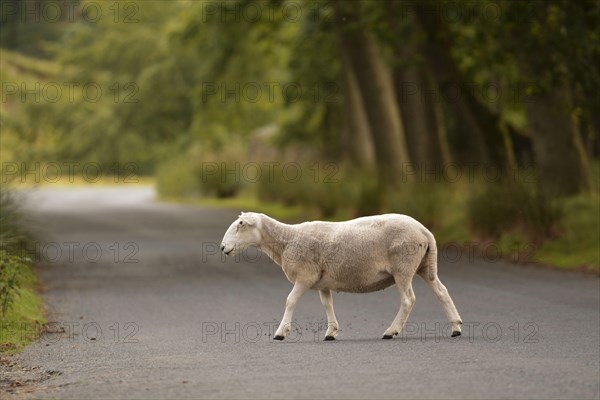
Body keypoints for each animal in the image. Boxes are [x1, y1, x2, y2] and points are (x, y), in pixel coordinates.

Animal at [220, 212, 464, 340]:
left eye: (240, 225)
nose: (222, 248)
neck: (286, 239)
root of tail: (425, 231)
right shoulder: (322, 282)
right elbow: (327, 304)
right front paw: (331, 332)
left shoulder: (305, 277)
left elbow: (290, 301)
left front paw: (281, 332)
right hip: (425, 265)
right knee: (442, 292)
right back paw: (456, 327)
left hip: (402, 266)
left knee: (408, 299)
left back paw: (391, 331)